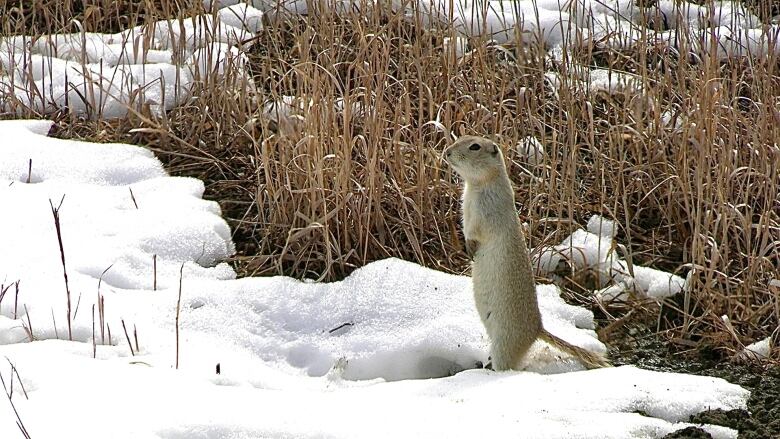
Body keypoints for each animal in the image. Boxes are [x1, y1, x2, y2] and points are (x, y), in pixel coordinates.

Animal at [442, 134, 612, 372]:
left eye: (474, 146)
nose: (447, 152)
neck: (476, 185)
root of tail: (537, 330)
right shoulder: (465, 207)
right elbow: (465, 225)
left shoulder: (486, 211)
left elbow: (477, 230)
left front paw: (471, 247)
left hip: (505, 342)